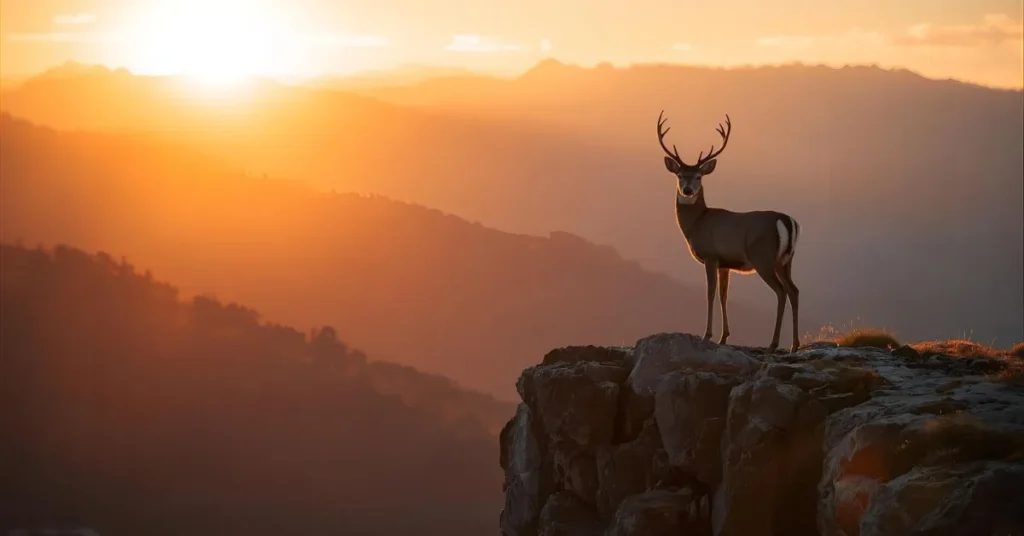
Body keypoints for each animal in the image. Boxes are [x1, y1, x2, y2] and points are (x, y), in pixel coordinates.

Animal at [656, 111, 801, 353]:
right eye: (679, 175)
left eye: (699, 176)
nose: (687, 190)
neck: (697, 224)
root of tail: (786, 220)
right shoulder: (725, 264)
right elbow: (724, 295)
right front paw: (724, 337)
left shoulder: (710, 255)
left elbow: (710, 293)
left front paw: (707, 335)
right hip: (786, 260)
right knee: (794, 290)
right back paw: (794, 345)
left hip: (763, 257)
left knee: (781, 291)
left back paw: (773, 343)